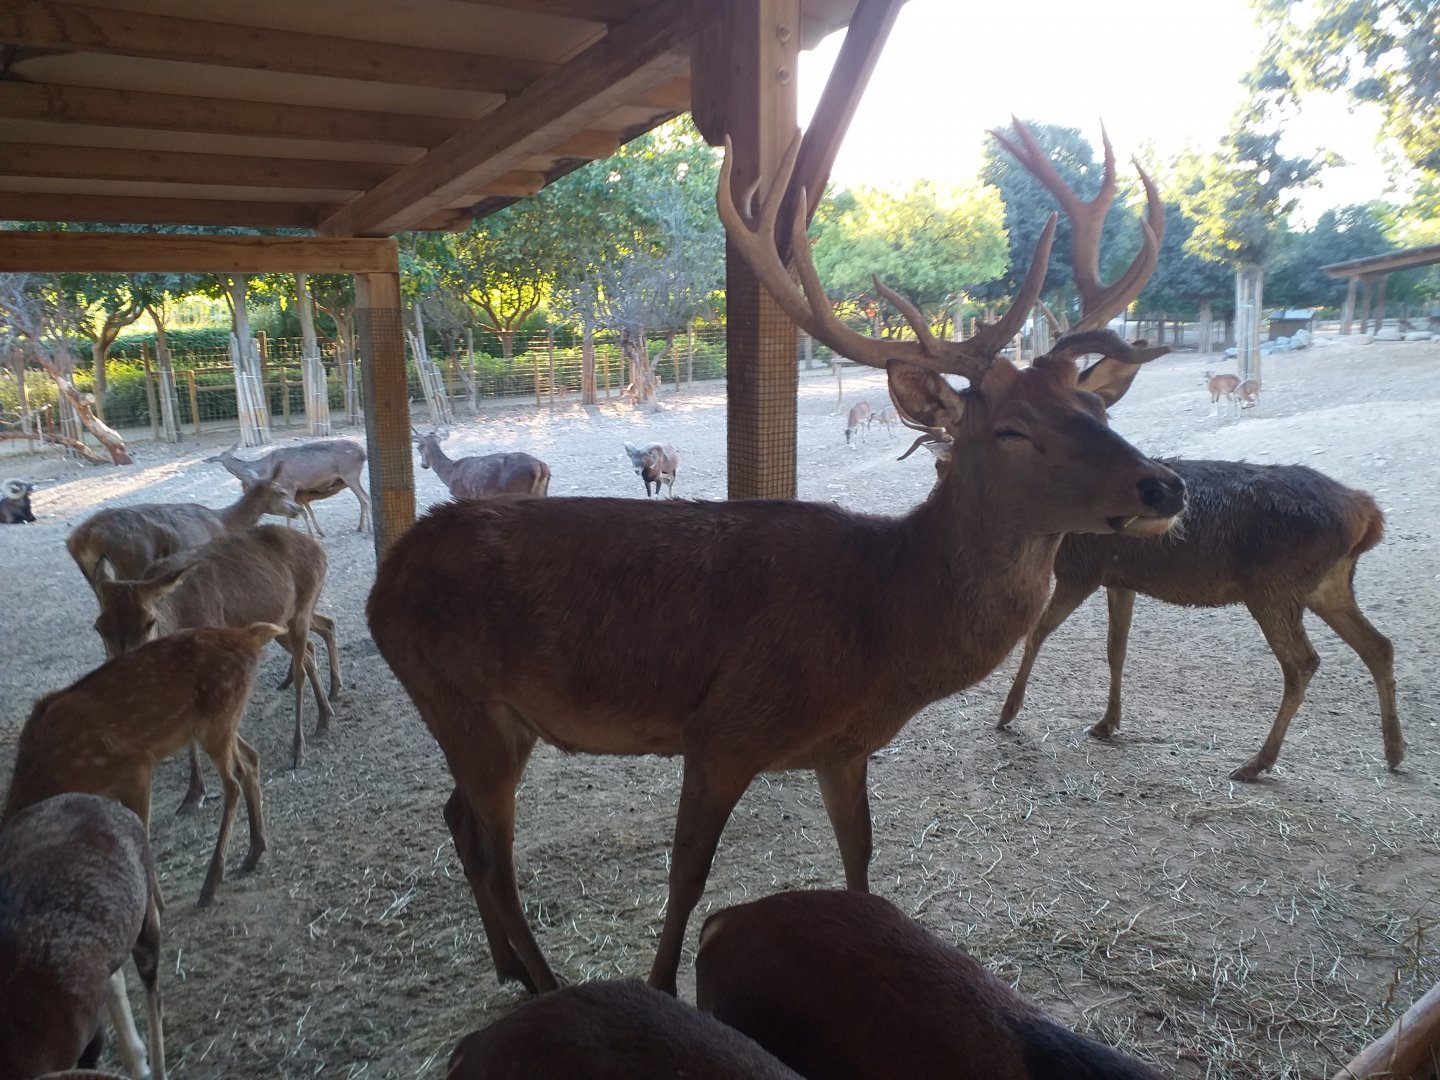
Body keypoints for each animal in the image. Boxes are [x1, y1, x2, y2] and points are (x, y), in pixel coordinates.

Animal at [66, 479, 300, 591]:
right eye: (281, 491)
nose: (297, 508)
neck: (224, 522)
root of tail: (80, 539)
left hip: (94, 575)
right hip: (132, 563)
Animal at [91, 525, 338, 781]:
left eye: (149, 622)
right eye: (99, 627)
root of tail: (318, 548)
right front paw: (195, 786)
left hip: (302, 609)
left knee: (302, 667)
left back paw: (300, 747)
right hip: (281, 620)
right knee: (318, 637)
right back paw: (325, 714)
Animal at [209, 438, 370, 537]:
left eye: (246, 484)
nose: (244, 493)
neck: (265, 469)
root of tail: (363, 453)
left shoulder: (289, 485)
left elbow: (291, 513)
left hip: (350, 474)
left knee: (364, 498)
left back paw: (365, 528)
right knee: (365, 496)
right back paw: (362, 527)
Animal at [413, 429, 551, 500]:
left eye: (418, 447)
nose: (423, 465)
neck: (449, 474)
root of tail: (541, 466)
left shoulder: (460, 495)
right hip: (541, 491)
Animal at [989, 457, 1400, 780]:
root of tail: (1368, 515)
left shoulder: (1081, 569)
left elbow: (1037, 632)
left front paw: (1007, 713)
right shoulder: (1119, 579)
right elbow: (1116, 649)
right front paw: (1107, 722)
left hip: (1274, 587)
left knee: (1302, 662)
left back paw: (1257, 763)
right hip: (1328, 584)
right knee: (1378, 645)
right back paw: (1395, 750)